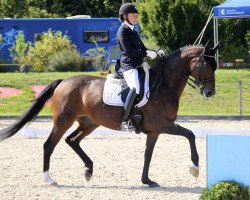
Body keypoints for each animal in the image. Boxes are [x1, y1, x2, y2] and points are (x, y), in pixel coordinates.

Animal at [0, 43, 218, 188]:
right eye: (207, 66)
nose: (209, 93)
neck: (163, 85)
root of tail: (63, 82)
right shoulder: (162, 125)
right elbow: (190, 134)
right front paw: (195, 168)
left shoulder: (154, 130)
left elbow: (148, 154)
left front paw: (146, 180)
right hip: (63, 121)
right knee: (49, 144)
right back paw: (49, 179)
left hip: (89, 123)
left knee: (72, 140)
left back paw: (88, 170)